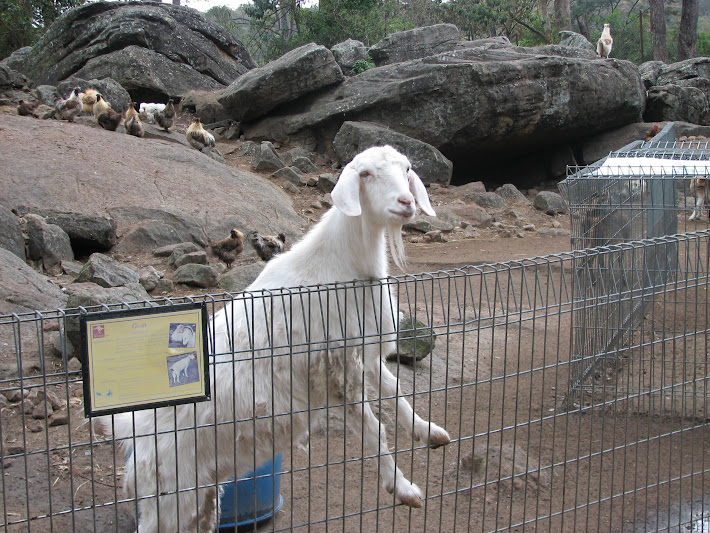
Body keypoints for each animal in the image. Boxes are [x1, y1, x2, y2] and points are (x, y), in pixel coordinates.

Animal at [95, 145, 450, 533]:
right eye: (366, 174)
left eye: (407, 169)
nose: (406, 202)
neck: (344, 267)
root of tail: (134, 432)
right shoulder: (335, 369)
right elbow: (374, 430)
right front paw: (403, 488)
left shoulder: (363, 353)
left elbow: (395, 390)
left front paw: (428, 431)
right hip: (169, 493)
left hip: (201, 492)